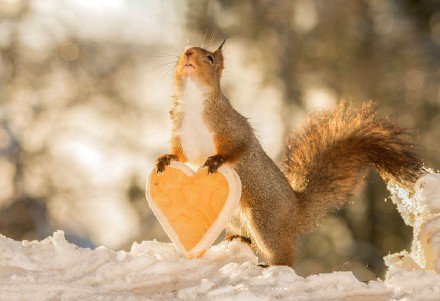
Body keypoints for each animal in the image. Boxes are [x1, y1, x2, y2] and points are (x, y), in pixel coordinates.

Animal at [155, 40, 422, 268]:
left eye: (210, 58)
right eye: (183, 51)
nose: (188, 52)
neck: (193, 102)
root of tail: (296, 213)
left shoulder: (233, 127)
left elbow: (239, 147)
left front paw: (217, 161)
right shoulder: (182, 135)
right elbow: (182, 155)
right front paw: (165, 159)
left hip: (265, 221)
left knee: (284, 255)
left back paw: (271, 265)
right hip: (235, 217)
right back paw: (239, 240)